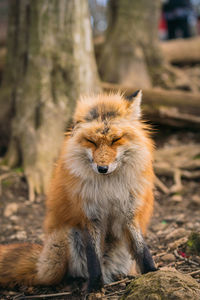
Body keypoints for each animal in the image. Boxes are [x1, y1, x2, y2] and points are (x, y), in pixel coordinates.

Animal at [0, 91, 156, 290]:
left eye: (115, 140)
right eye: (91, 141)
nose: (102, 168)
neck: (109, 188)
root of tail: (41, 260)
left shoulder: (128, 213)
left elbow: (142, 249)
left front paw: (153, 273)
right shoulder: (89, 215)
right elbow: (93, 258)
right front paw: (93, 288)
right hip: (64, 242)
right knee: (68, 273)